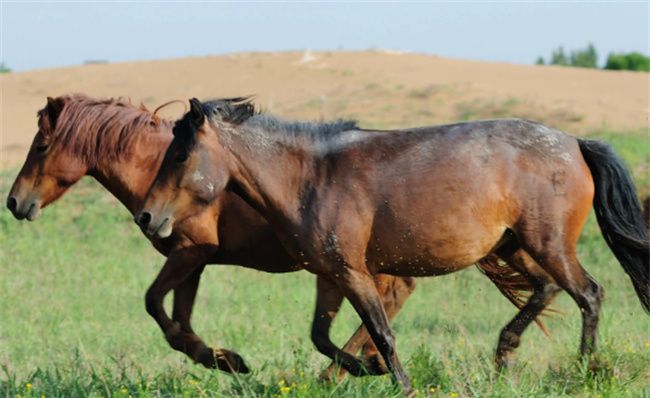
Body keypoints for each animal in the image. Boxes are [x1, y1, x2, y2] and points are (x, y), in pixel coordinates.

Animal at [5, 94, 532, 380]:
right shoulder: (194, 260)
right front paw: (221, 359)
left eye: (42, 145)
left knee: (388, 302)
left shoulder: (190, 253)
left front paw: (225, 360)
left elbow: (156, 305)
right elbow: (177, 318)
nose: (14, 202)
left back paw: (349, 370)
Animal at [138, 98, 648, 394]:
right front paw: (368, 370)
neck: (310, 178)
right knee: (548, 289)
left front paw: (398, 381)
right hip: (514, 246)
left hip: (548, 243)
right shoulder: (330, 274)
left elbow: (381, 332)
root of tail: (575, 143)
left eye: (179, 154)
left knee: (589, 293)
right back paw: (504, 355)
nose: (147, 216)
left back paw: (586, 369)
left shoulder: (353, 272)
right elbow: (322, 337)